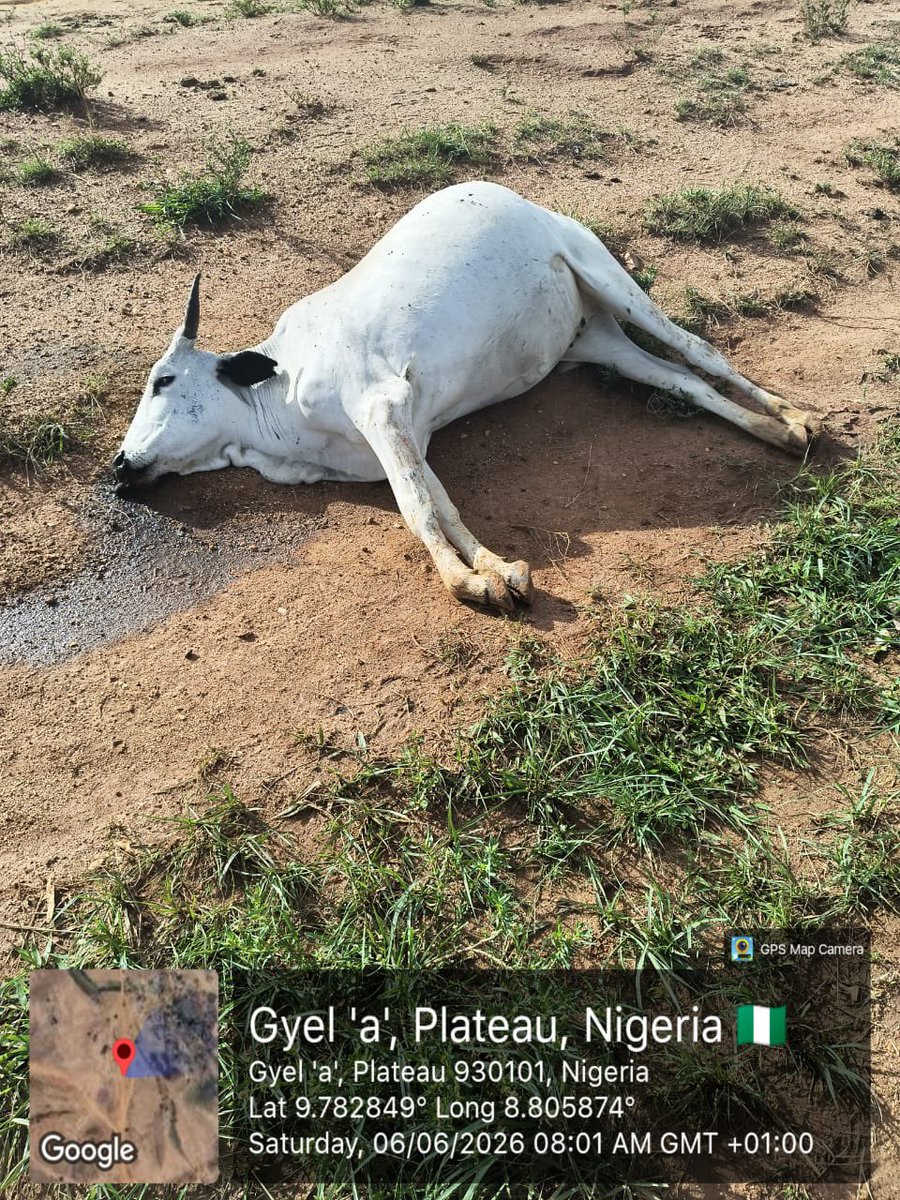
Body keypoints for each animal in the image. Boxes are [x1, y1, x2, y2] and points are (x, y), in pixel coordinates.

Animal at [113, 180, 816, 611]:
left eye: (163, 380)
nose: (119, 466)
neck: (275, 393)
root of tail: (520, 198)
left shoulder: (383, 406)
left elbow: (418, 510)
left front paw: (465, 583)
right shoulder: (407, 436)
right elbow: (440, 504)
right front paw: (496, 572)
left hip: (603, 275)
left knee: (699, 350)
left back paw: (799, 418)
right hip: (596, 342)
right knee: (683, 380)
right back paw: (776, 432)